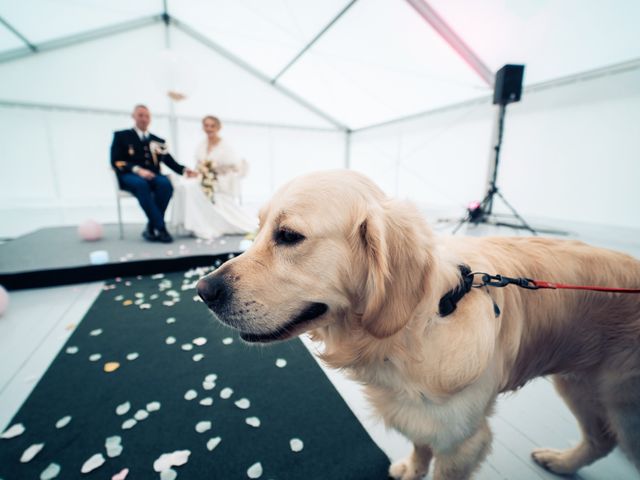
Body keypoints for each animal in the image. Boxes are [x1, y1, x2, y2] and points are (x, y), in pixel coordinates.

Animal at [198, 171, 640, 478]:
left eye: (289, 235)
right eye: (258, 230)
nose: (203, 290)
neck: (423, 321)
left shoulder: (463, 442)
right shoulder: (416, 414)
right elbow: (419, 445)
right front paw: (412, 468)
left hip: (620, 403)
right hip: (578, 382)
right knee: (600, 439)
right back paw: (561, 462)